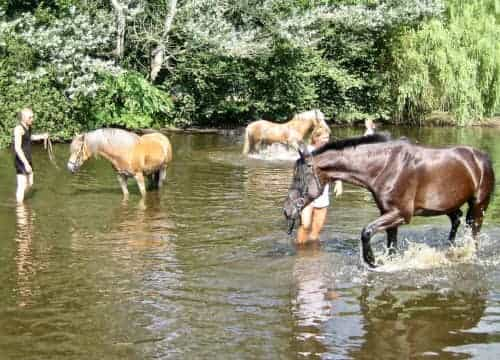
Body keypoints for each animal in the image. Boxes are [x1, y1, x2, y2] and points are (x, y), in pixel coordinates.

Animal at [284, 133, 494, 268]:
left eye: (298, 177)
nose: (287, 210)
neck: (387, 166)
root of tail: (481, 157)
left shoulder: (400, 214)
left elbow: (366, 232)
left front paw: (372, 261)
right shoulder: (388, 214)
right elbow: (391, 246)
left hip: (478, 207)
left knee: (473, 232)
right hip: (448, 205)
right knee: (456, 219)